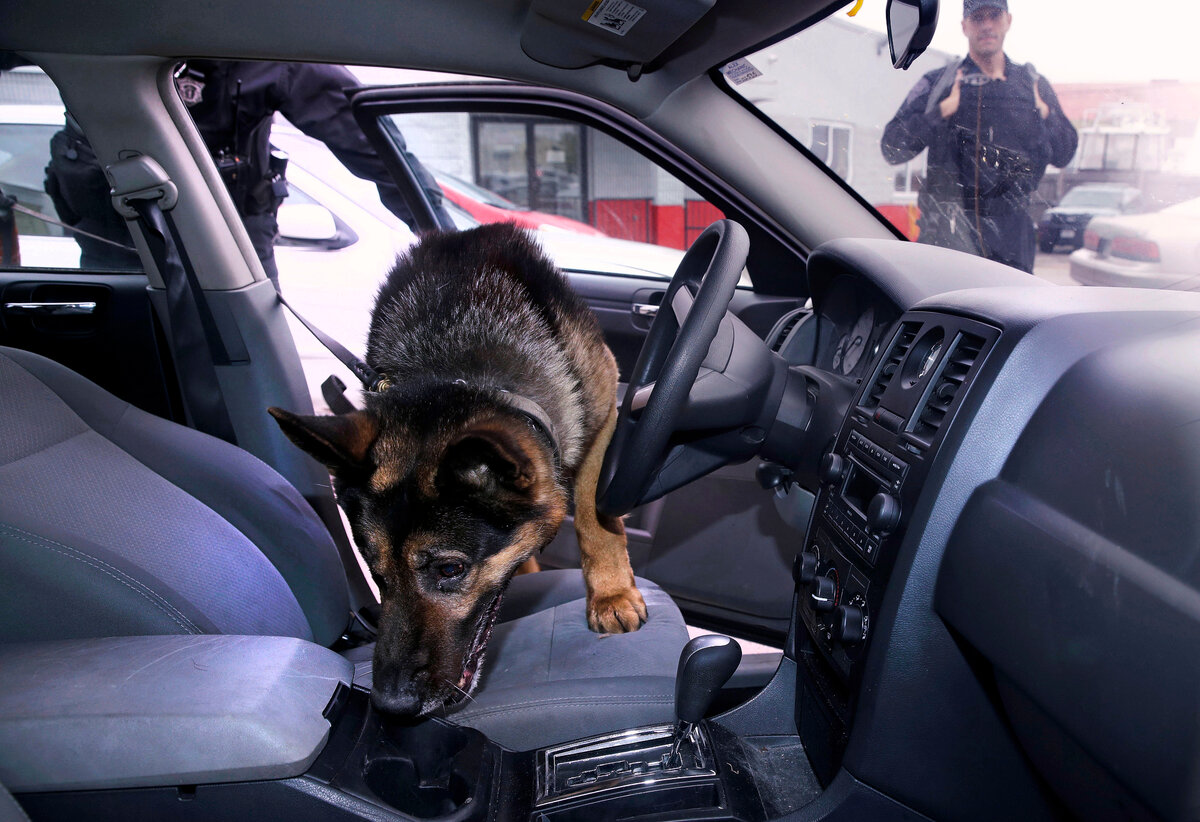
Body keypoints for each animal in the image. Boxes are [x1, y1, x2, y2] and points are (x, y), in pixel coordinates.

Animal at [270, 220, 648, 715]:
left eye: (449, 570)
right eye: (374, 572)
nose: (391, 705)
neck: (461, 364)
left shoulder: (604, 418)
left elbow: (592, 514)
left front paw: (610, 593)